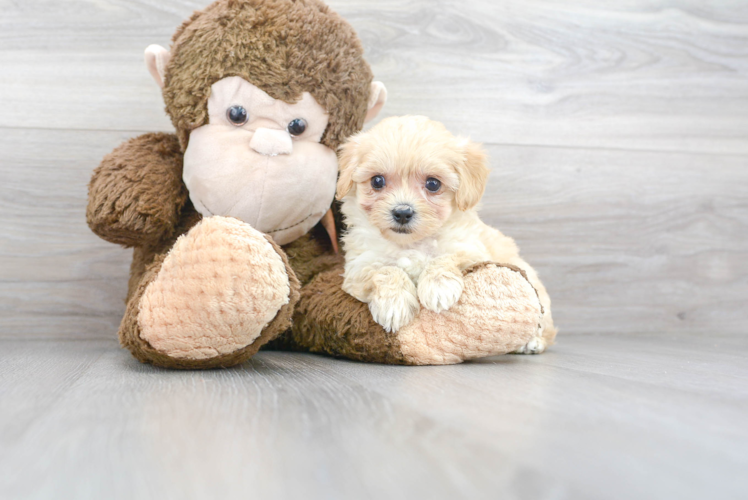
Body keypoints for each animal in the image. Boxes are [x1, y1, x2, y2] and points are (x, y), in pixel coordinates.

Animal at [334, 115, 556, 354]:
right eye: (377, 181)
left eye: (433, 184)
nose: (402, 212)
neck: (410, 244)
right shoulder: (358, 267)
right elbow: (385, 269)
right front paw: (395, 303)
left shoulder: (470, 250)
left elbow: (445, 257)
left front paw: (438, 288)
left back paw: (533, 342)